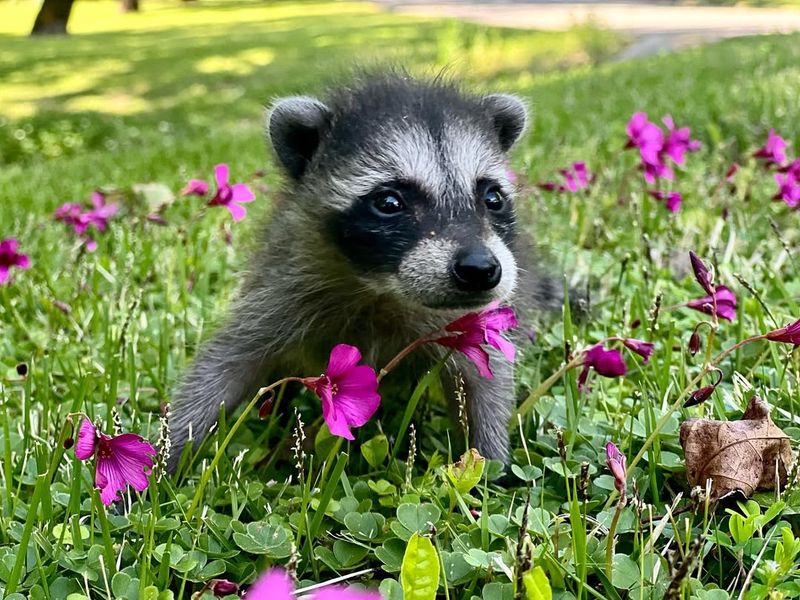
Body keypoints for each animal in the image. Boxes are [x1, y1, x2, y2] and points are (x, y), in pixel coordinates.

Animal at [168, 72, 556, 472]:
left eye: (492, 198)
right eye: (389, 202)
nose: (480, 269)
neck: (379, 288)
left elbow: (484, 380)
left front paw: (491, 463)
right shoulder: (280, 284)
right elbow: (226, 362)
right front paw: (169, 455)